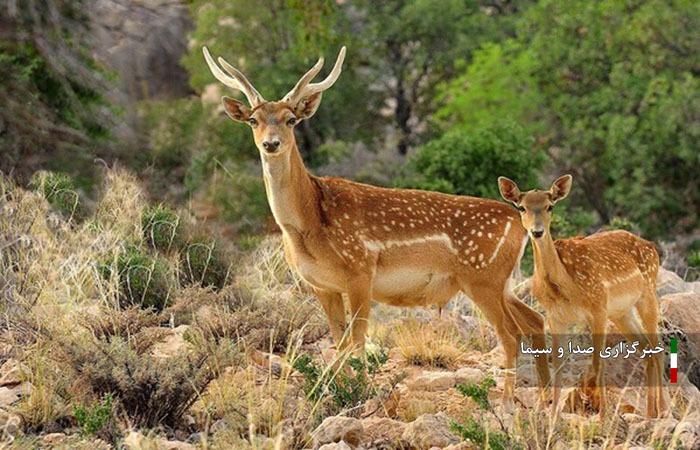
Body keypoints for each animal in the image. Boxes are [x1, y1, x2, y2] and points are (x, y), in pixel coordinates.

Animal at [202, 44, 552, 400]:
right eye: (253, 120)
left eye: (291, 119)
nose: (270, 143)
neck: (308, 223)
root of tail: (518, 220)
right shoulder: (321, 285)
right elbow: (339, 340)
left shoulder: (360, 269)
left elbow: (356, 342)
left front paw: (356, 393)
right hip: (501, 282)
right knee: (535, 321)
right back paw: (542, 400)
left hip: (483, 277)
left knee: (510, 334)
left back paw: (508, 402)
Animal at [500, 174, 664, 416]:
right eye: (521, 207)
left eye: (550, 206)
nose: (537, 231)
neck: (566, 287)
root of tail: (652, 246)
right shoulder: (555, 317)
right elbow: (558, 363)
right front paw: (553, 416)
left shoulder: (598, 307)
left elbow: (598, 362)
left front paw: (603, 416)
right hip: (621, 312)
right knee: (647, 349)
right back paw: (652, 413)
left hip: (648, 294)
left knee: (657, 347)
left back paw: (662, 411)